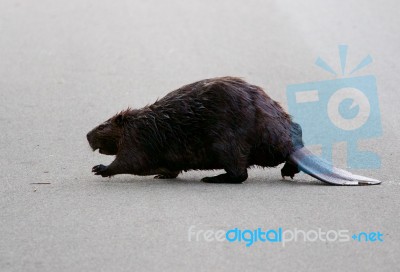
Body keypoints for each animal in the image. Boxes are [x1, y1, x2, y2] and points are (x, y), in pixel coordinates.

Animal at [86, 76, 382, 185]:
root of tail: (292, 146)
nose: (87, 136)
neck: (145, 120)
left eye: (101, 125)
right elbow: (164, 167)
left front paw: (100, 169)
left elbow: (131, 160)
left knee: (240, 174)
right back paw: (288, 171)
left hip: (227, 145)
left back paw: (212, 178)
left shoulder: (140, 137)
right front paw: (163, 175)